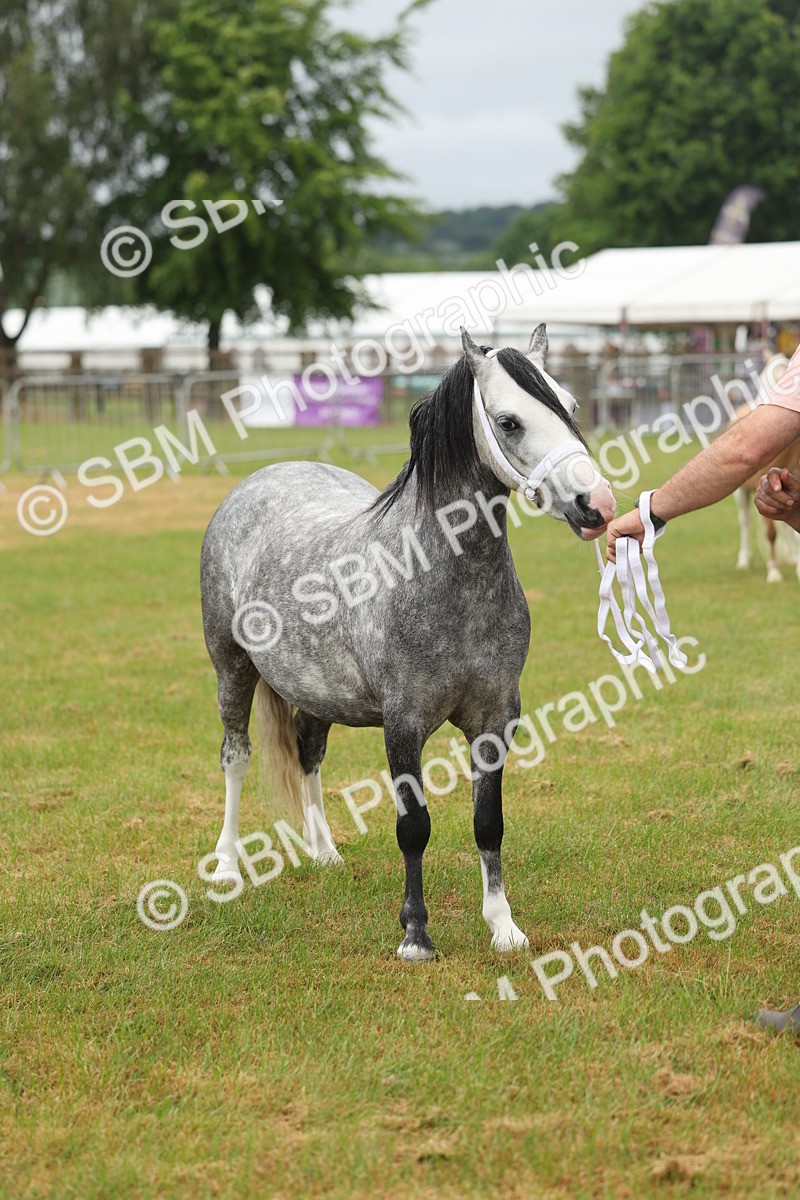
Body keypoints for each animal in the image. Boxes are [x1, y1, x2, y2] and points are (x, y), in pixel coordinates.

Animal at [200, 326, 615, 960]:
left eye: (568, 404)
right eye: (510, 421)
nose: (599, 505)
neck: (440, 576)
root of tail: (257, 482)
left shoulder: (496, 719)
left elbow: (488, 824)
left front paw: (504, 927)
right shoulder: (404, 725)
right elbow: (413, 827)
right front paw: (416, 935)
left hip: (317, 692)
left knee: (307, 755)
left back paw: (324, 852)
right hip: (232, 671)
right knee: (236, 757)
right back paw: (226, 866)